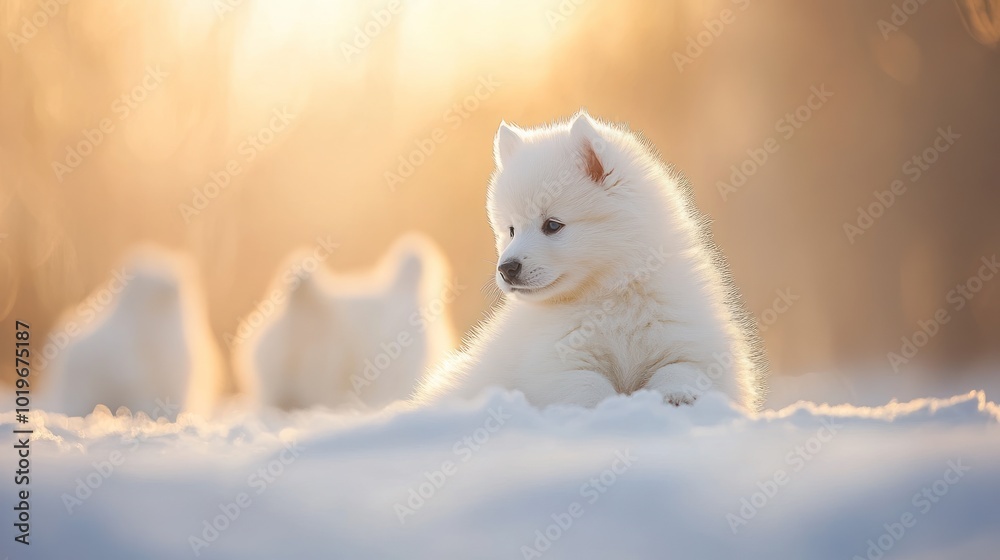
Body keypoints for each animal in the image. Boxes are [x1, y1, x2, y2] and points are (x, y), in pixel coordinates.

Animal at [414, 111, 764, 410]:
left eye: (552, 225)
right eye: (511, 230)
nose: (506, 268)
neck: (612, 295)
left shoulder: (694, 342)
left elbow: (681, 369)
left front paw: (676, 397)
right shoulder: (557, 364)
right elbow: (589, 388)